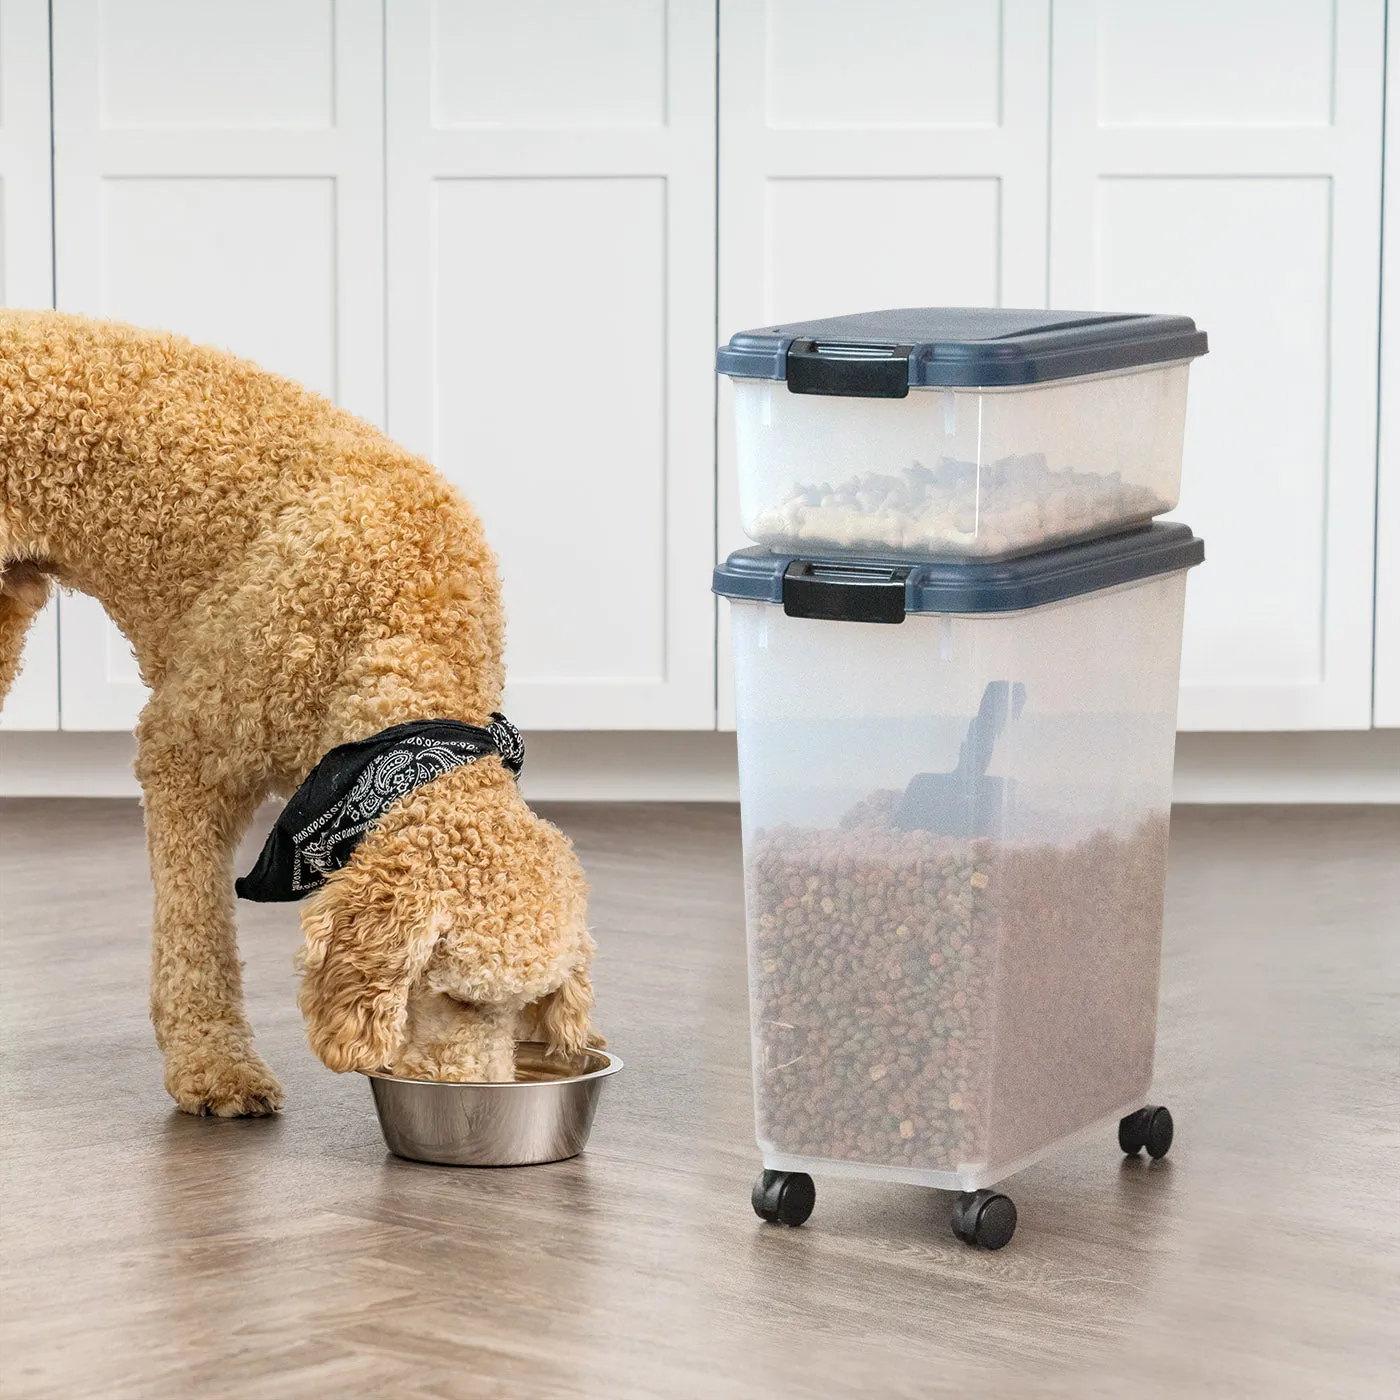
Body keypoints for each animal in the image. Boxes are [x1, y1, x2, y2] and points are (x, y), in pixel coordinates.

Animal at [0, 315, 596, 1114]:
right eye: (456, 997)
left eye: (522, 1006)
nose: (478, 1097)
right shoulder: (189, 753)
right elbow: (198, 932)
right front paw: (214, 1063)